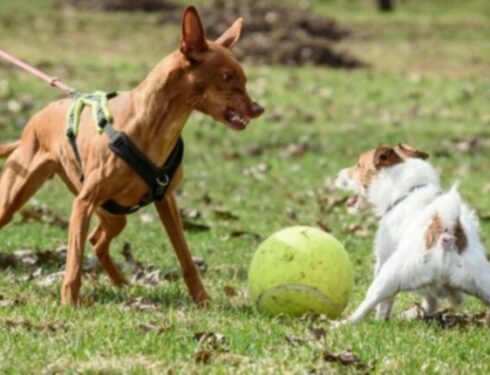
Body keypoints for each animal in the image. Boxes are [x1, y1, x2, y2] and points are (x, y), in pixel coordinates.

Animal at [0, 6, 264, 306]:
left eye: (243, 78)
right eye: (227, 77)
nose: (258, 109)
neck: (154, 126)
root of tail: (31, 124)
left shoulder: (166, 201)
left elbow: (185, 257)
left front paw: (202, 300)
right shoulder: (83, 204)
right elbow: (74, 262)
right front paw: (69, 303)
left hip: (113, 214)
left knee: (97, 240)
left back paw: (122, 283)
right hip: (16, 200)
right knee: (89, 240)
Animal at [334, 145, 490, 326]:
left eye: (358, 165)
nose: (338, 174)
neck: (410, 190)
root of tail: (446, 234)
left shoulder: (383, 256)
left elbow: (385, 304)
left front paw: (380, 320)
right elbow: (430, 300)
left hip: (387, 277)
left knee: (366, 306)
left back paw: (342, 324)